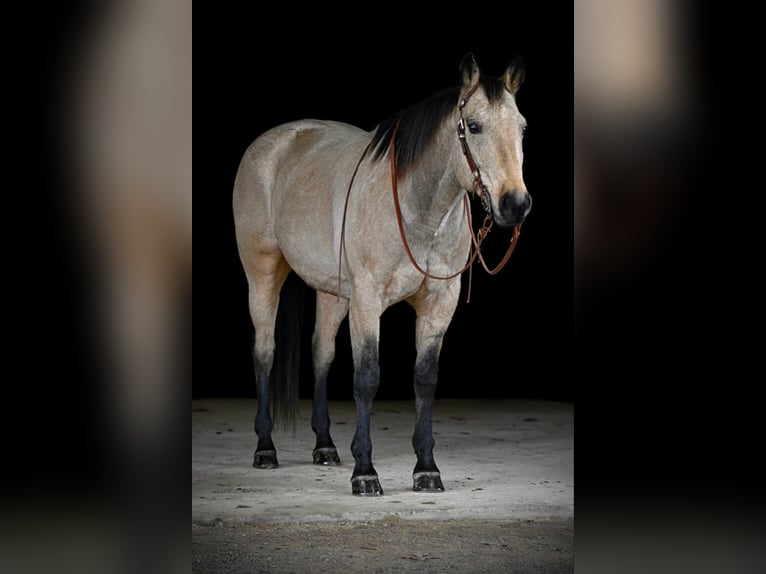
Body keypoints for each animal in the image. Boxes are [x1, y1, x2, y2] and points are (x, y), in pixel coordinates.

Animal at [234, 51, 536, 498]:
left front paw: (426, 469)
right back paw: (265, 448)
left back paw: (325, 446)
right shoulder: (367, 300)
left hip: (332, 294)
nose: (515, 204)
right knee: (264, 352)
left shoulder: (438, 305)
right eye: (474, 125)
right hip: (263, 274)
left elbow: (424, 379)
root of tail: (270, 143)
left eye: (522, 127)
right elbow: (367, 377)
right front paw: (365, 472)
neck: (418, 210)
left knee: (321, 353)